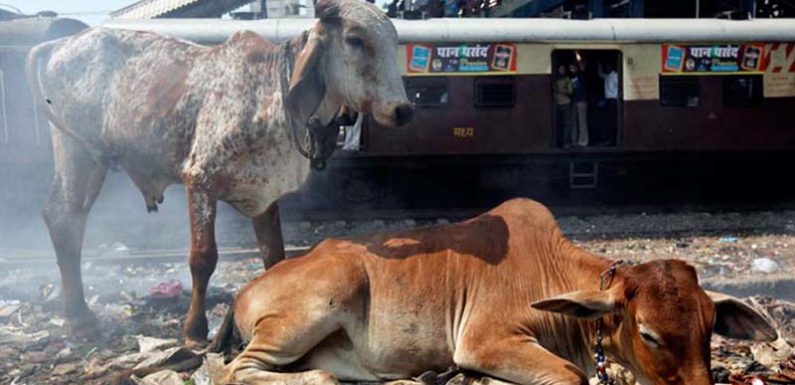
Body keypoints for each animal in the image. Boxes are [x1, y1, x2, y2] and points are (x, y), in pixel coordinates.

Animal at [28, 0, 414, 346]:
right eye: (355, 39)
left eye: (394, 40)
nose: (403, 110)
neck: (271, 95)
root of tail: (57, 45)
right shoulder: (200, 182)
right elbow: (203, 259)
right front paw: (195, 331)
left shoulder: (264, 196)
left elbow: (274, 257)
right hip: (77, 152)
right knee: (64, 219)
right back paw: (80, 320)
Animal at [219, 198, 776, 384]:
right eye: (649, 334)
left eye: (710, 329)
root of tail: (247, 287)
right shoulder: (485, 341)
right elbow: (571, 375)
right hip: (321, 301)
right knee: (234, 371)